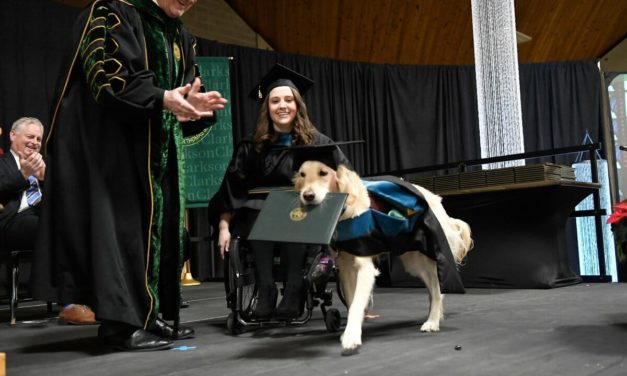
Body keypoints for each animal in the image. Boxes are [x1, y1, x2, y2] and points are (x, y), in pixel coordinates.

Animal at [294, 143, 472, 356]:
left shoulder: (365, 267)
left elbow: (356, 304)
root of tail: (435, 199)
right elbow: (352, 300)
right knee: (433, 289)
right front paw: (351, 331)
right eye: (302, 175)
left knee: (438, 290)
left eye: (323, 173)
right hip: (413, 260)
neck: (344, 210)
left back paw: (432, 321)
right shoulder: (345, 267)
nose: (307, 196)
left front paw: (351, 337)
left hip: (425, 256)